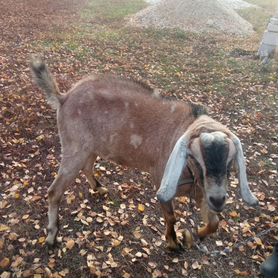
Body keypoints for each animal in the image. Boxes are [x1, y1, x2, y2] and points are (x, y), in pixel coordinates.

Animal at [30, 56, 258, 250]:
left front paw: (195, 235)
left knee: (87, 166)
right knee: (54, 191)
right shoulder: (161, 180)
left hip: (91, 147)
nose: (219, 200)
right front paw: (173, 242)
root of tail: (64, 97)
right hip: (74, 148)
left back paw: (99, 188)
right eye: (195, 158)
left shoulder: (203, 191)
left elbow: (214, 222)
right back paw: (51, 236)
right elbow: (171, 217)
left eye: (230, 161)